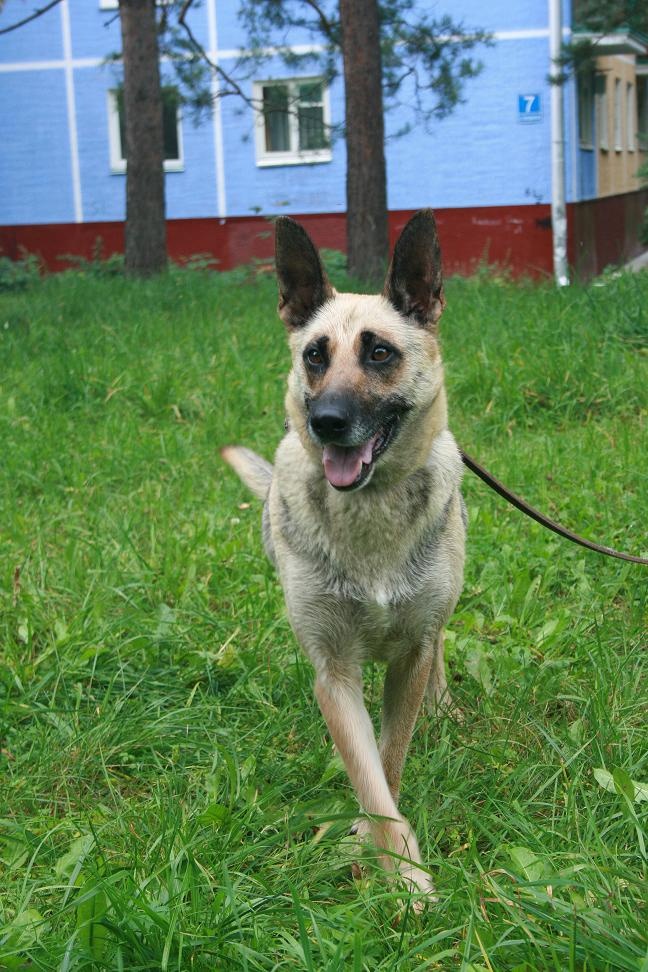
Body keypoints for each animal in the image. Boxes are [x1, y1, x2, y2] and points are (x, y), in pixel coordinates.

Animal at [223, 211, 466, 904]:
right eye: (314, 355)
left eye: (379, 352)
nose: (327, 421)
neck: (370, 508)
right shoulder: (333, 673)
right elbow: (370, 775)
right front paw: (402, 873)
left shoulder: (409, 657)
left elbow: (389, 757)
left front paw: (381, 855)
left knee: (443, 636)